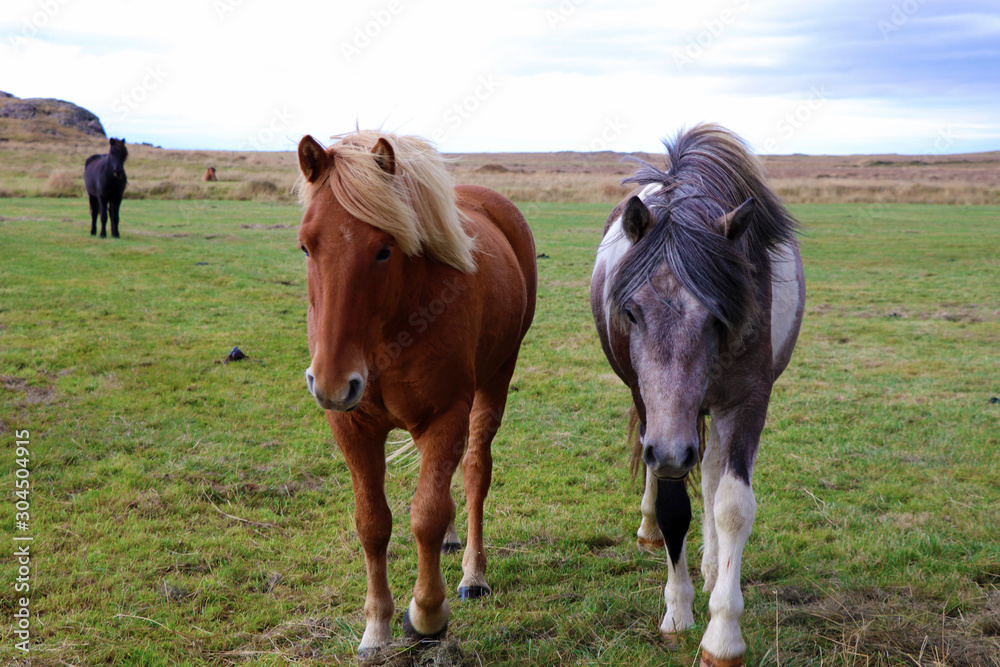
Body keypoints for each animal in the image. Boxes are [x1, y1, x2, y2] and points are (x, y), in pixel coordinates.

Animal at [294, 130, 536, 656]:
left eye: (384, 249)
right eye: (305, 246)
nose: (332, 382)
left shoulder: (446, 414)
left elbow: (426, 513)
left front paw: (426, 615)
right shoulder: (351, 426)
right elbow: (372, 523)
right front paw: (376, 627)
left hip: (495, 379)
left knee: (474, 472)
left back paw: (472, 575)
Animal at [592, 125, 804, 667]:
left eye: (717, 316)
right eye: (631, 311)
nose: (671, 449)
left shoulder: (747, 402)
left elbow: (731, 506)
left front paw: (723, 634)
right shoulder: (656, 417)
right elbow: (673, 506)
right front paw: (678, 612)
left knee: (708, 474)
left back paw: (711, 565)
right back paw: (653, 534)